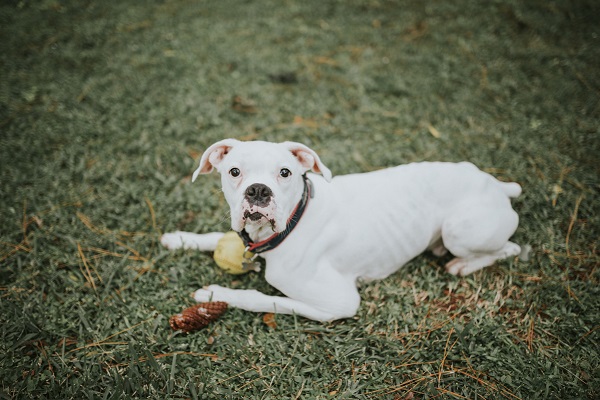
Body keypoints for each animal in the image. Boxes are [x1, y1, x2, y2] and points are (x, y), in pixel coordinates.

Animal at [161, 139, 521, 321]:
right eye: (234, 172)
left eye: (285, 172)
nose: (258, 191)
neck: (293, 222)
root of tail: (496, 184)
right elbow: (213, 238)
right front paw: (181, 238)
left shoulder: (339, 304)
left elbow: (264, 299)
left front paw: (215, 295)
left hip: (459, 232)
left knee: (511, 249)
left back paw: (463, 265)